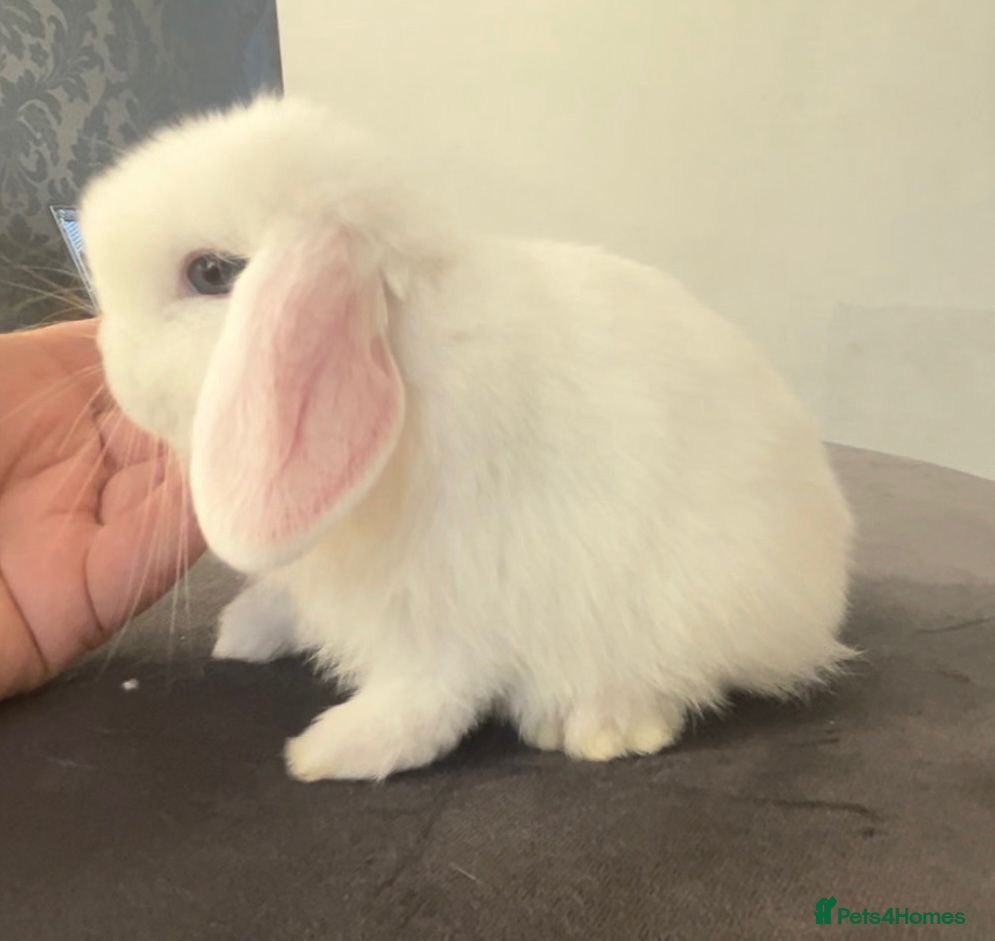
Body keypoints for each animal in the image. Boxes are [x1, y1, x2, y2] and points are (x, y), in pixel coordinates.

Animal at [79, 96, 854, 782]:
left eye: (210, 272)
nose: (112, 366)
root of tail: (818, 581)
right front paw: (245, 632)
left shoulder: (443, 601)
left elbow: (430, 695)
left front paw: (332, 750)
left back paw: (599, 723)